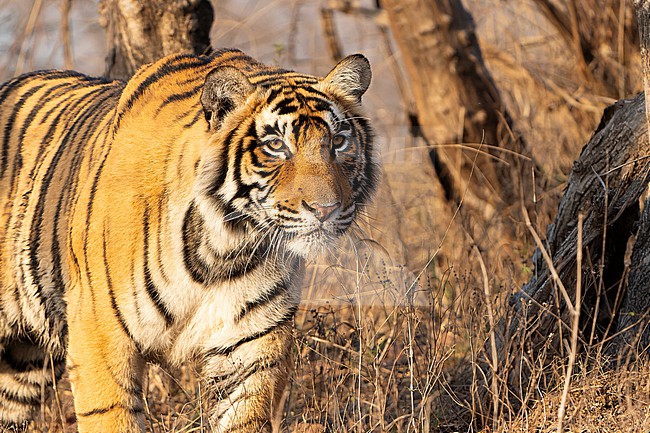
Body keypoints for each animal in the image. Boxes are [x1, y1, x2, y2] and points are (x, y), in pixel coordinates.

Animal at [0, 48, 377, 432]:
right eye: (275, 146)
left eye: (338, 142)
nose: (325, 209)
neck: (225, 248)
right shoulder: (100, 333)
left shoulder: (252, 344)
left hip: (23, 361)